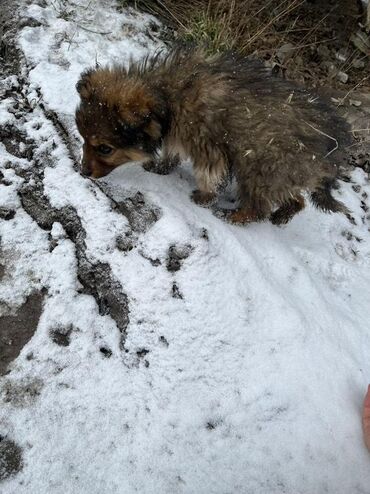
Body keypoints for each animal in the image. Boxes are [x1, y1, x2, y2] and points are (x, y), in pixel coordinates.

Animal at [76, 46, 352, 224]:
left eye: (105, 149)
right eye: (83, 139)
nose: (83, 172)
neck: (167, 98)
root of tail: (331, 150)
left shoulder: (208, 146)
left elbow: (209, 174)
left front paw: (204, 197)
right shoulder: (178, 134)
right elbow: (172, 151)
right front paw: (161, 166)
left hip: (261, 167)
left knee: (259, 206)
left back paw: (235, 215)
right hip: (282, 174)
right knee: (296, 200)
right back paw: (282, 215)